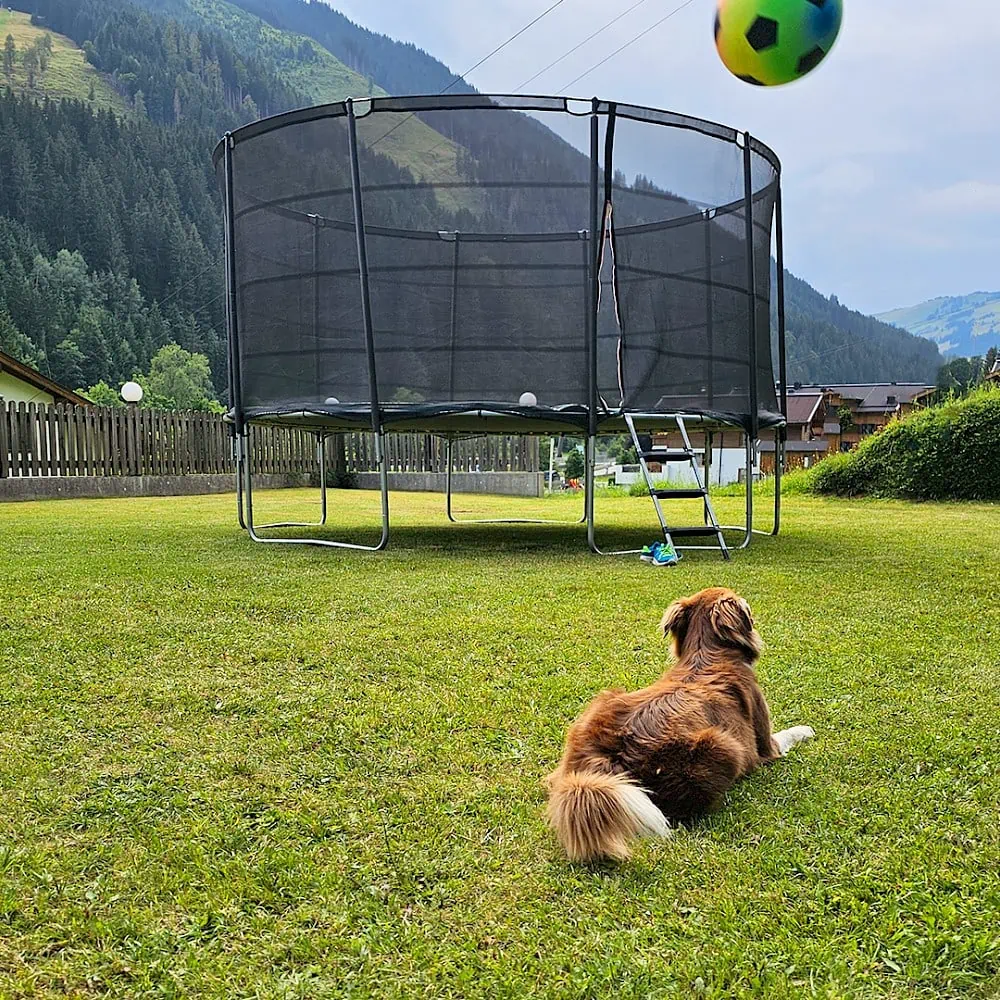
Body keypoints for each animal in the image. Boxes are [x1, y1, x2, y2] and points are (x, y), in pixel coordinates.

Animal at [548, 584, 812, 860]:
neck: (705, 652)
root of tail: (602, 758)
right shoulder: (766, 743)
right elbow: (788, 734)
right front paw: (806, 730)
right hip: (724, 745)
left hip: (604, 700)